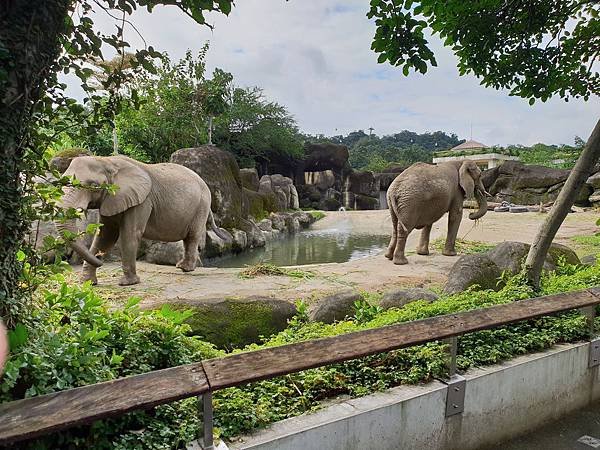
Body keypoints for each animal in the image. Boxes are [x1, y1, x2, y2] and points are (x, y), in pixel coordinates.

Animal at [56, 156, 227, 286]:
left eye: (93, 185)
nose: (102, 262)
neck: (107, 161)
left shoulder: (142, 201)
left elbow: (130, 234)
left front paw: (127, 283)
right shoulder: (111, 199)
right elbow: (105, 236)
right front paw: (87, 282)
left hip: (201, 205)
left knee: (192, 235)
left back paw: (185, 268)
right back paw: (182, 266)